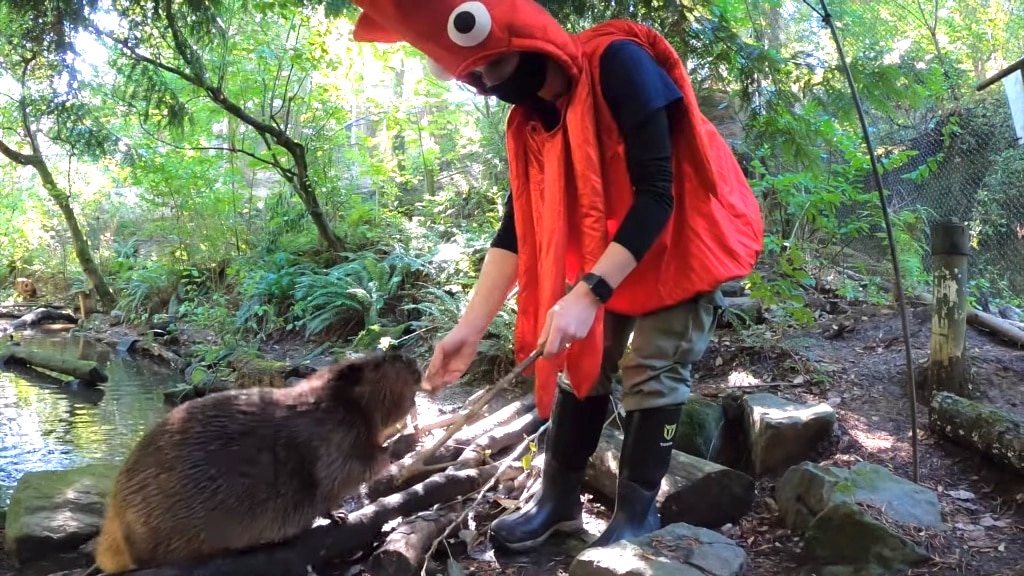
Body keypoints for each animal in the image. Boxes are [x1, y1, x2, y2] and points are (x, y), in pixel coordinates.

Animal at [91, 344, 419, 569]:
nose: (413, 361)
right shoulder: (337, 434)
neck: (332, 402)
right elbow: (353, 469)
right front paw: (403, 441)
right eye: (381, 362)